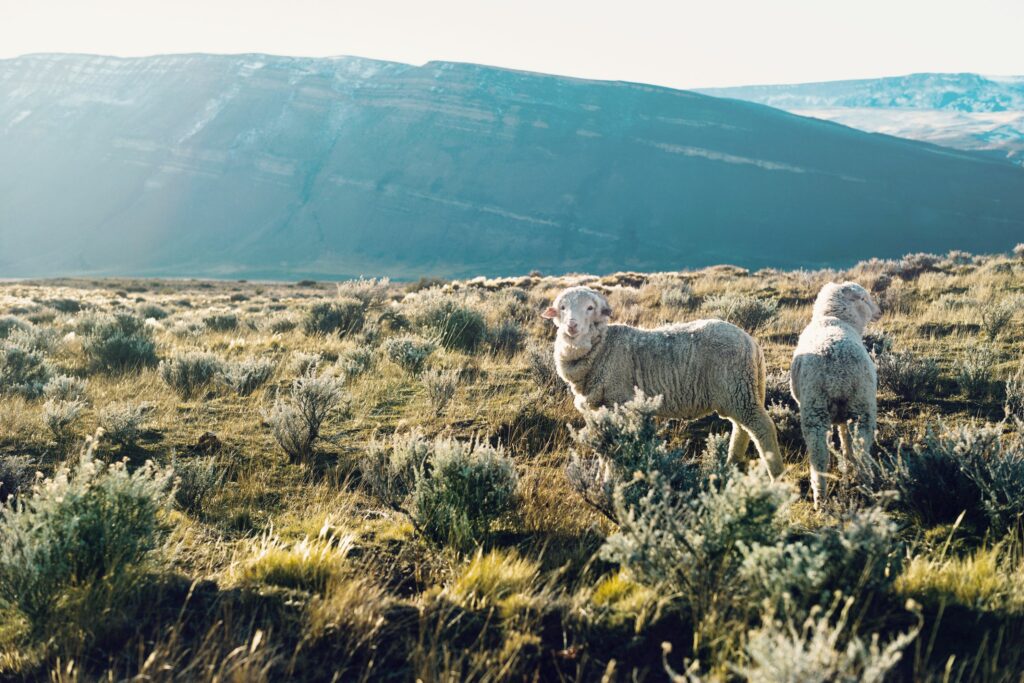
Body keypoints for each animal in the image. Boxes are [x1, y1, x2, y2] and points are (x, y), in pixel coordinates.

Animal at [544, 286, 782, 479]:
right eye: (563, 307)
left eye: (590, 308)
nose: (572, 326)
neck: (603, 346)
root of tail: (751, 342)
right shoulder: (599, 409)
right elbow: (602, 445)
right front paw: (599, 478)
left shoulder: (617, 401)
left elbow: (613, 445)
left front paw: (610, 481)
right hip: (739, 391)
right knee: (741, 429)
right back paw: (730, 466)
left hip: (737, 389)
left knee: (761, 427)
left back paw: (775, 475)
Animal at [786, 278, 884, 507]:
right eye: (864, 298)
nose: (879, 311)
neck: (833, 319)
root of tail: (838, 374)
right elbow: (844, 436)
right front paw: (847, 459)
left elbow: (841, 435)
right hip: (860, 407)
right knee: (859, 450)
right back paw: (863, 487)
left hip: (818, 409)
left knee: (820, 455)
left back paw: (821, 497)